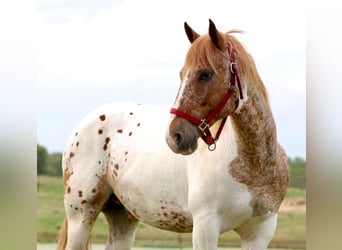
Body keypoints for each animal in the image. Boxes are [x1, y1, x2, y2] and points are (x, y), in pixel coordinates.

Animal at [56, 18, 288, 249]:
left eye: (205, 74)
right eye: (182, 74)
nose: (174, 137)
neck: (253, 165)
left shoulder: (259, 234)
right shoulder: (205, 228)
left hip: (123, 217)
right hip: (81, 217)